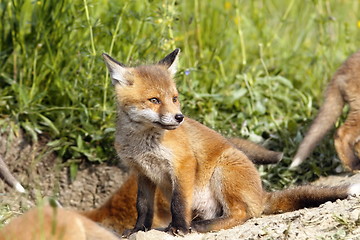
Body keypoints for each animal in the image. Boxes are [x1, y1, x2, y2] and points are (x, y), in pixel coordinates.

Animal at [102, 48, 360, 236]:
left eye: (174, 98)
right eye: (154, 100)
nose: (179, 117)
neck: (143, 143)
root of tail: (262, 194)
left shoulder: (182, 165)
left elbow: (178, 203)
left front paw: (178, 228)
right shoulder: (143, 173)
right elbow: (143, 207)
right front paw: (138, 230)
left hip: (223, 171)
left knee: (242, 213)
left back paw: (200, 226)